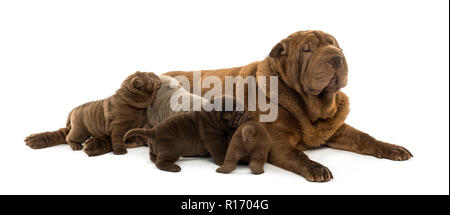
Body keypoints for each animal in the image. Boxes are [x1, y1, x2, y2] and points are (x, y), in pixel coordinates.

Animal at [25, 71, 161, 155]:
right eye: (150, 78)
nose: (152, 73)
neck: (131, 101)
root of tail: (73, 110)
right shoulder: (118, 127)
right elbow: (117, 139)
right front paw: (120, 151)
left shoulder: (142, 125)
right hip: (80, 131)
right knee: (68, 136)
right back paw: (75, 146)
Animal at [123, 96, 253, 172]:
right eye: (240, 113)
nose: (250, 115)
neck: (213, 117)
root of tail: (153, 131)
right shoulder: (213, 141)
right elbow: (219, 152)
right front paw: (223, 161)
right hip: (172, 148)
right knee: (160, 162)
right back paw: (174, 167)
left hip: (154, 148)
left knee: (153, 157)